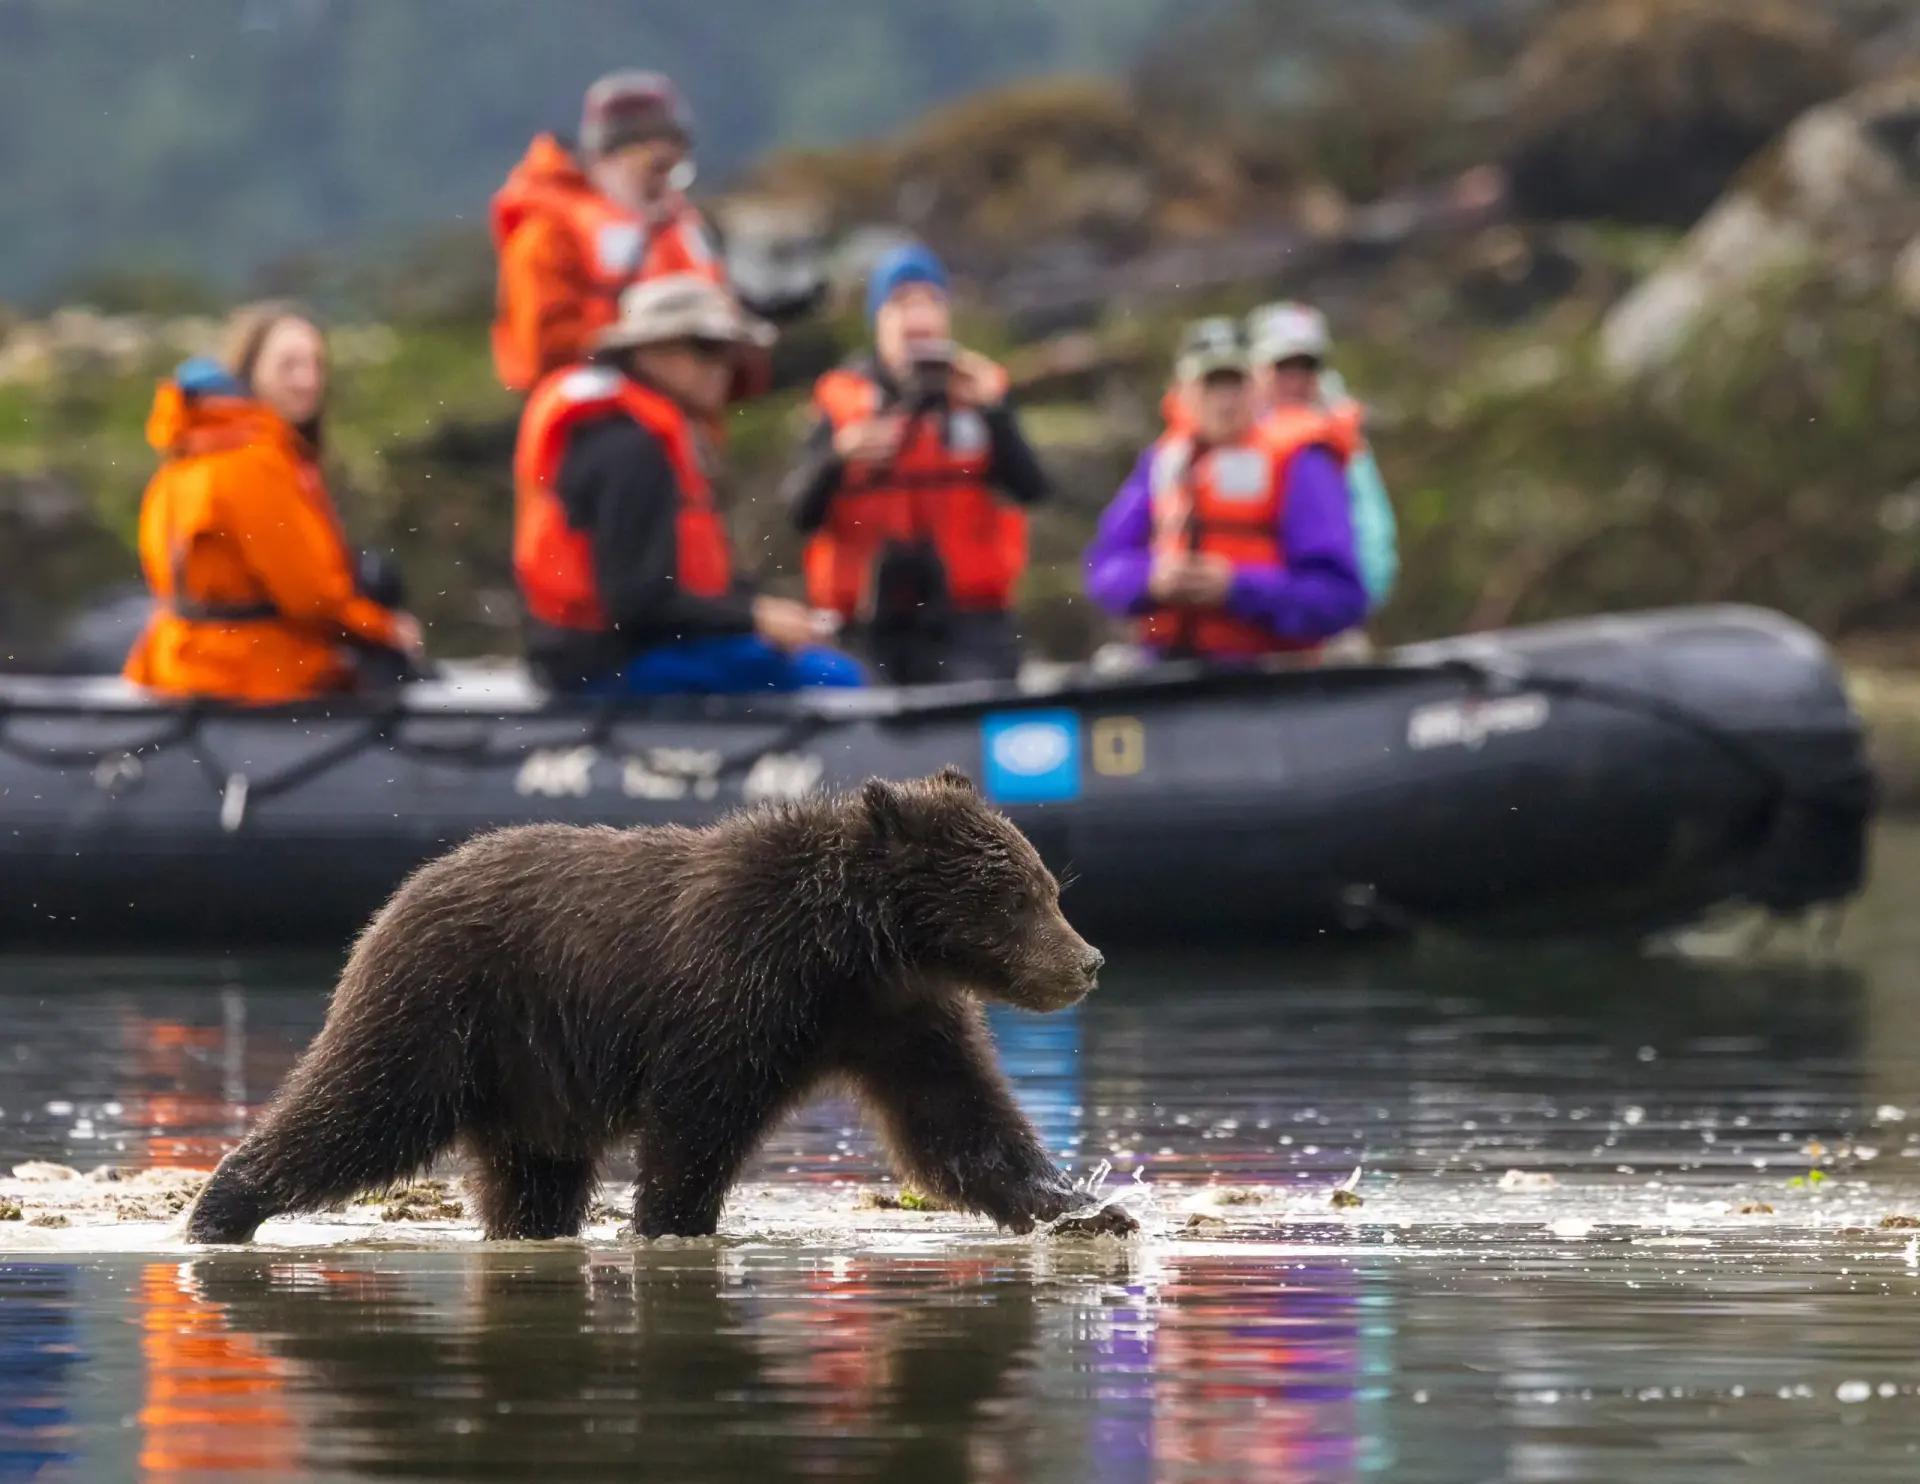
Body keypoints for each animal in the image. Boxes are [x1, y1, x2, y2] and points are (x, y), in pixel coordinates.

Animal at [185, 767, 1135, 1244]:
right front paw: (673, 1225)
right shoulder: (736, 992)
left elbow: (961, 1127)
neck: (853, 951)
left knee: (531, 1180)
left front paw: (1089, 1208)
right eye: (1013, 897)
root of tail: (399, 894)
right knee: (357, 1112)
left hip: (530, 1081)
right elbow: (695, 1126)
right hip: (445, 1010)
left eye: (1048, 885)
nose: (1087, 962)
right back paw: (219, 1211)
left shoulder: (899, 1019)